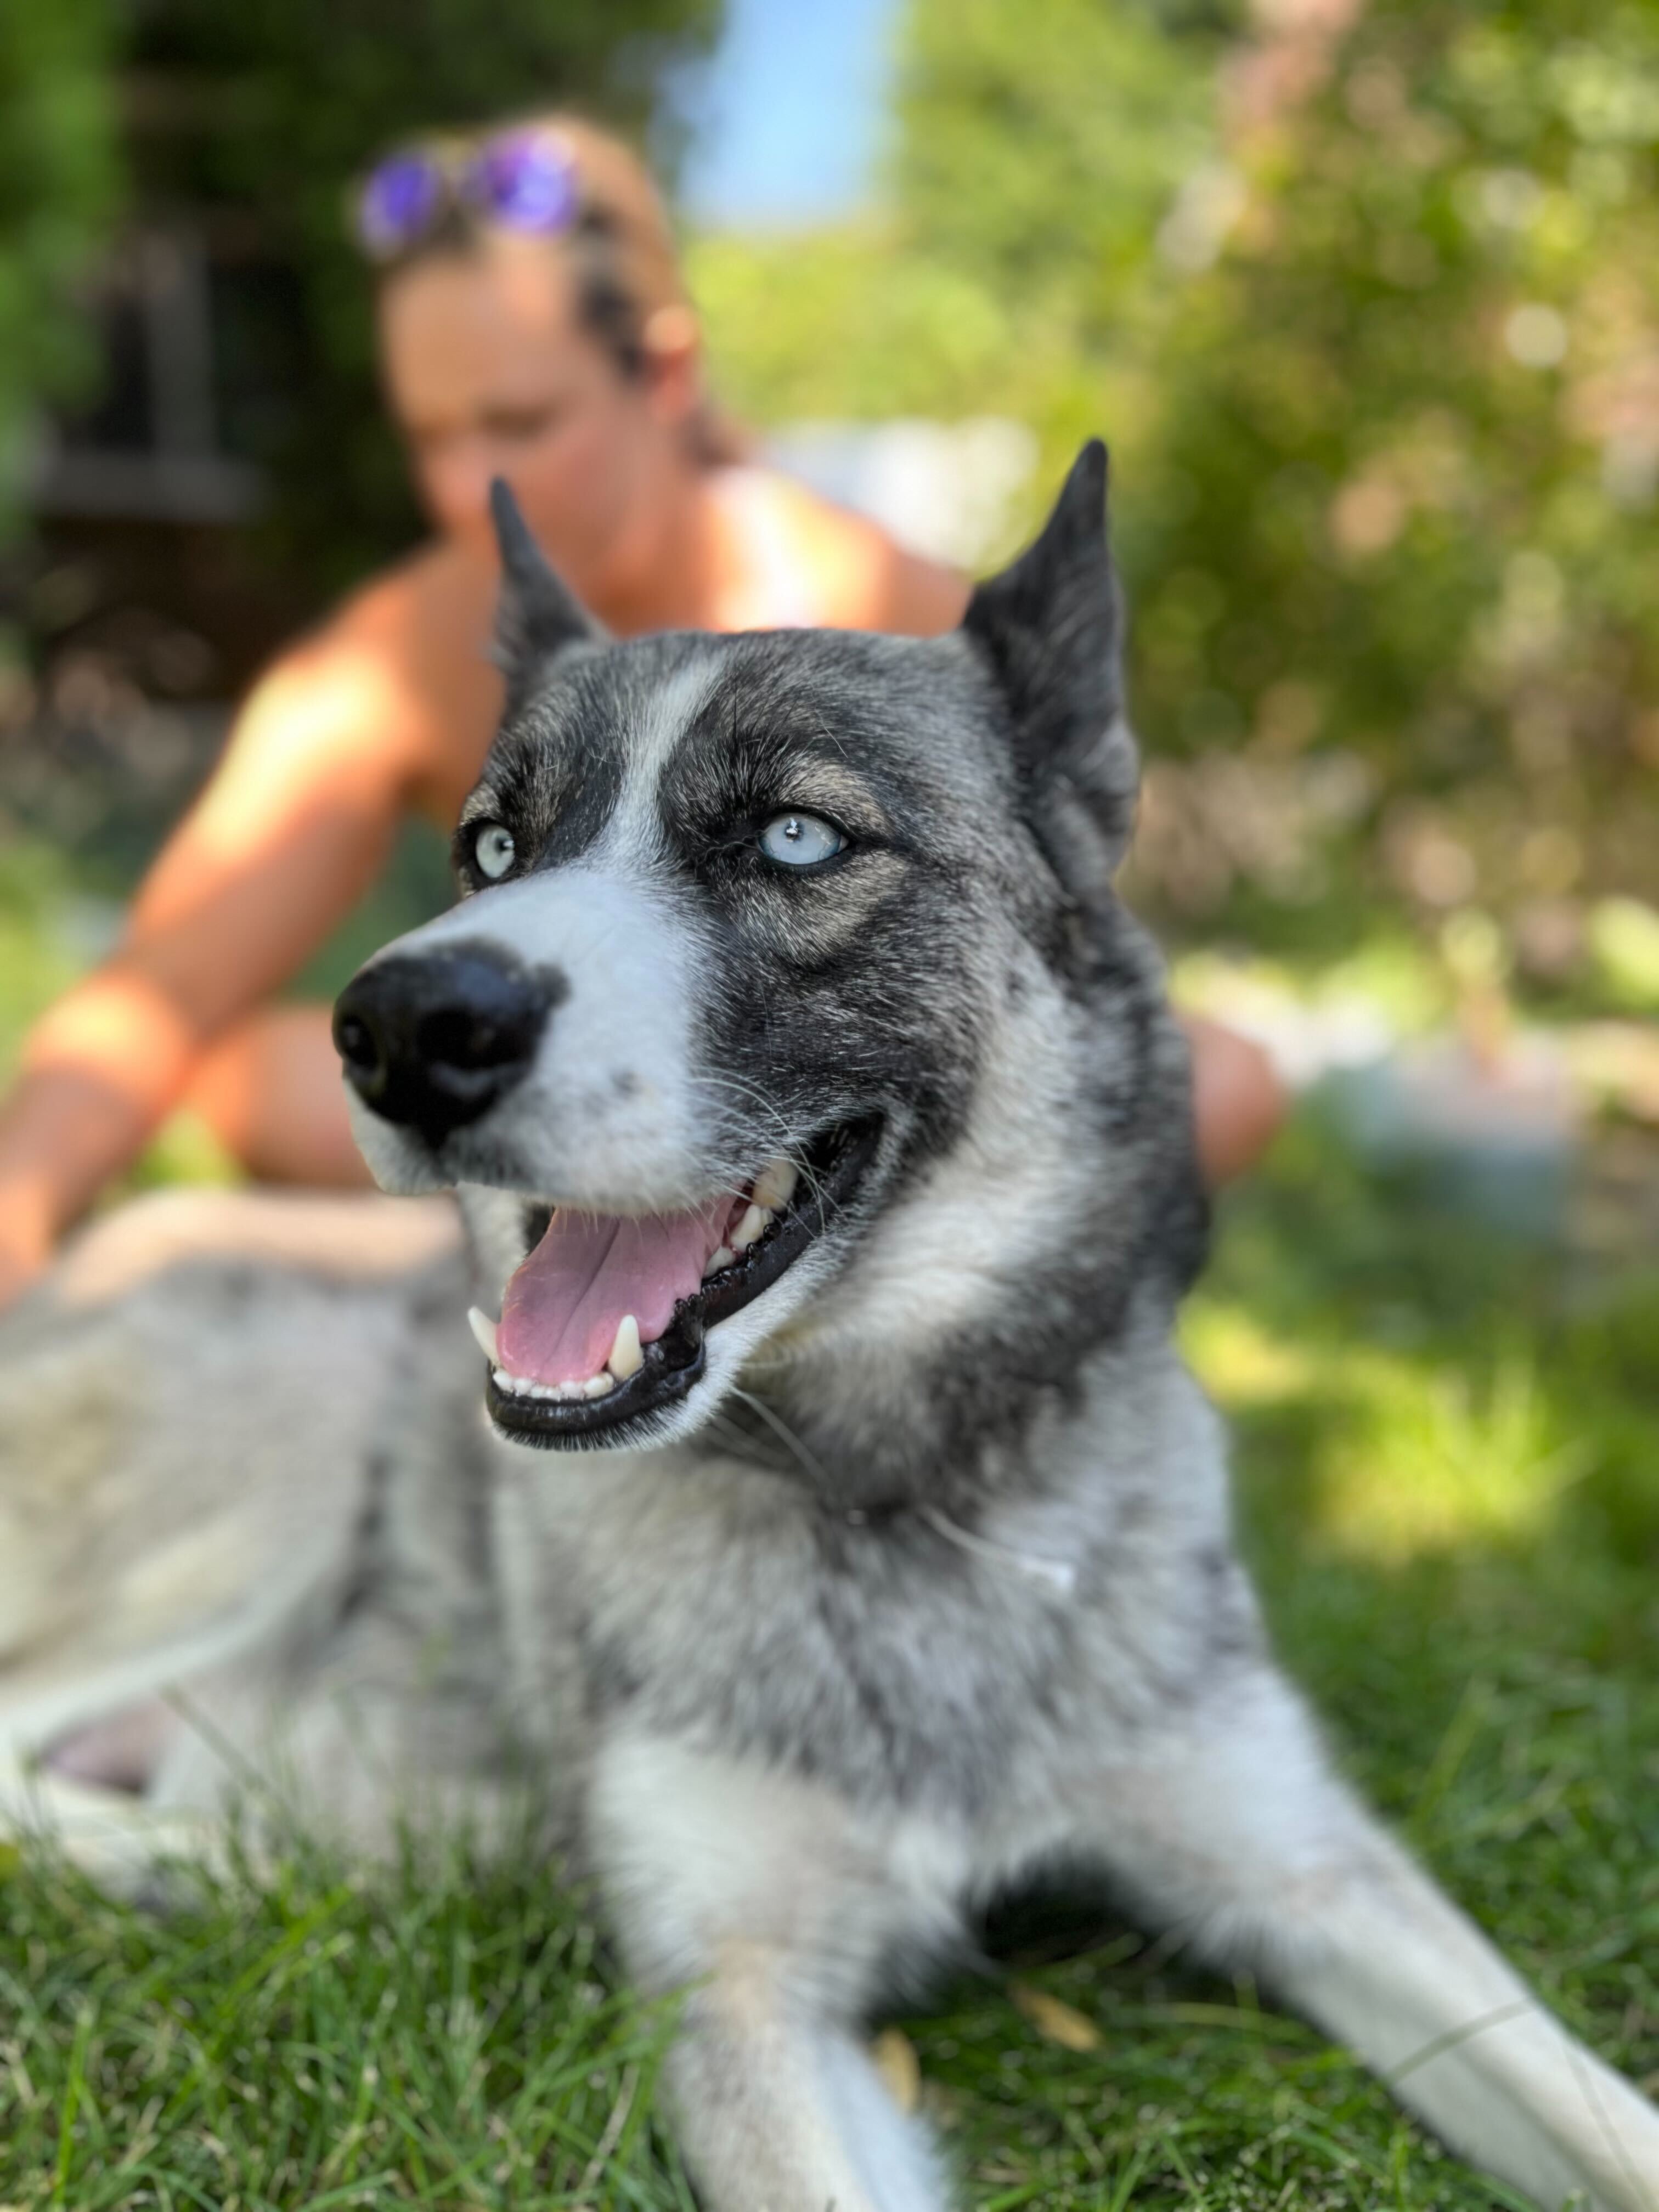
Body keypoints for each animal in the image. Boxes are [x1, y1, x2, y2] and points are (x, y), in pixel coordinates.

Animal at [3, 449, 1659, 2212]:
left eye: (797, 839)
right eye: (495, 847)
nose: (401, 1028)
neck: (892, 1501)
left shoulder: (1312, 1868)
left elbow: (1601, 2115)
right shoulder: (745, 1999)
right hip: (283, 1462)